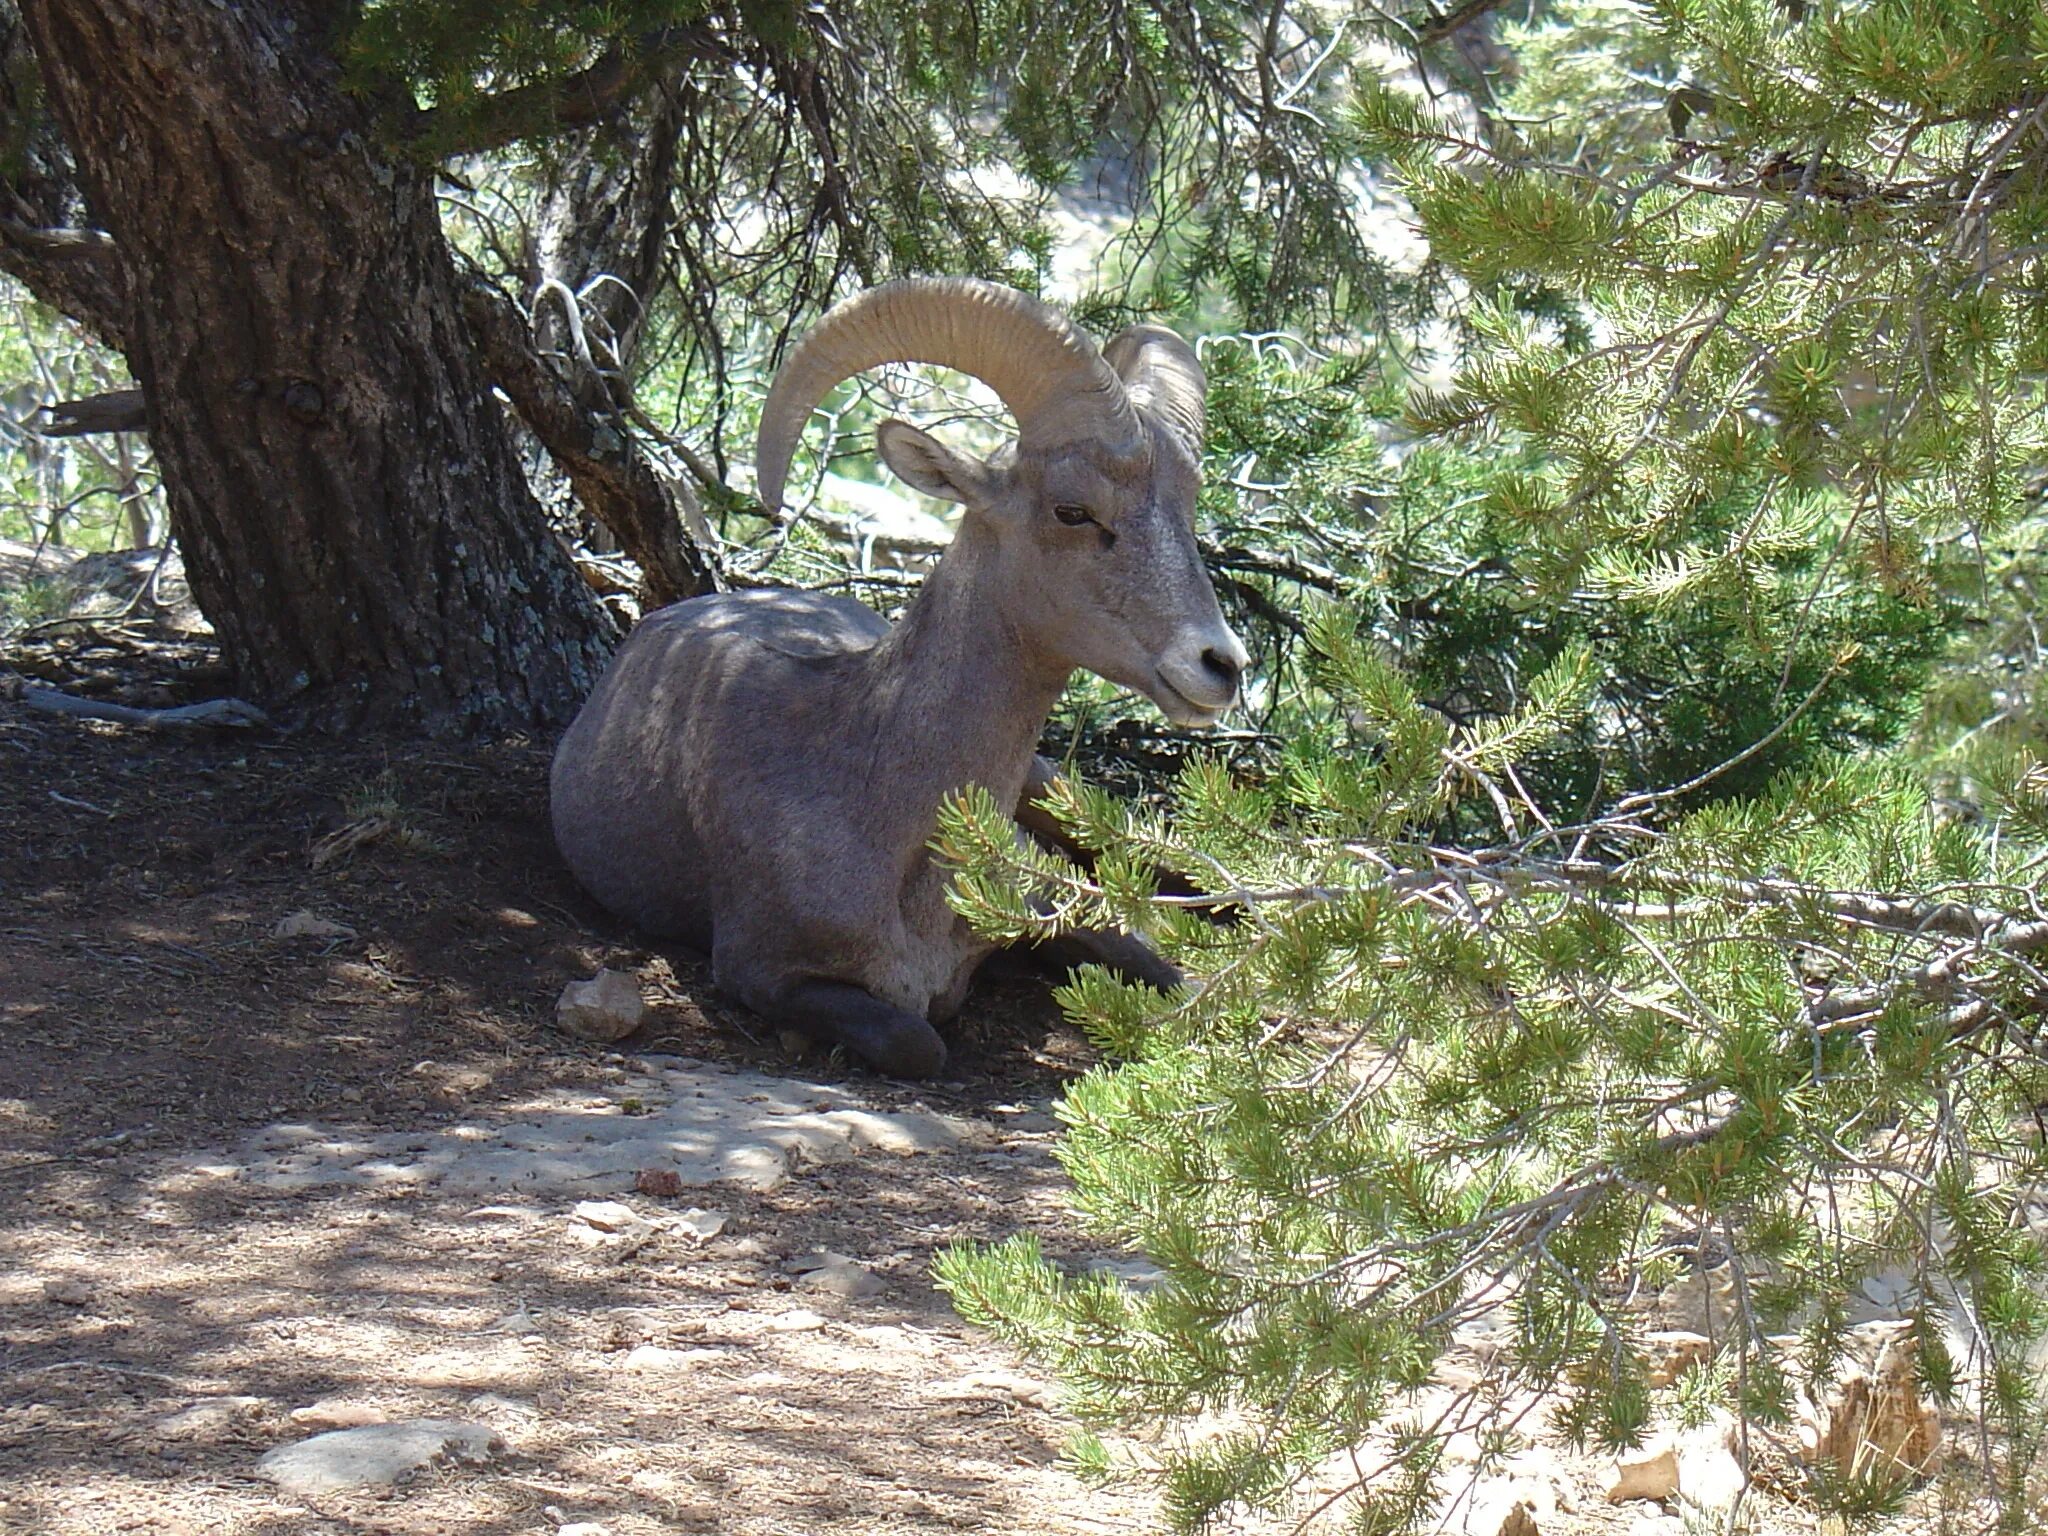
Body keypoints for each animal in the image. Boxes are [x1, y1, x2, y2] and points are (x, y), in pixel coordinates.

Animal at [548, 276, 1245, 1073]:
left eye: (1187, 511)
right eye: (1073, 510)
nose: (1220, 665)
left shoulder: (1045, 906)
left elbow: (1175, 977)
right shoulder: (770, 973)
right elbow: (919, 1043)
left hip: (1050, 785)